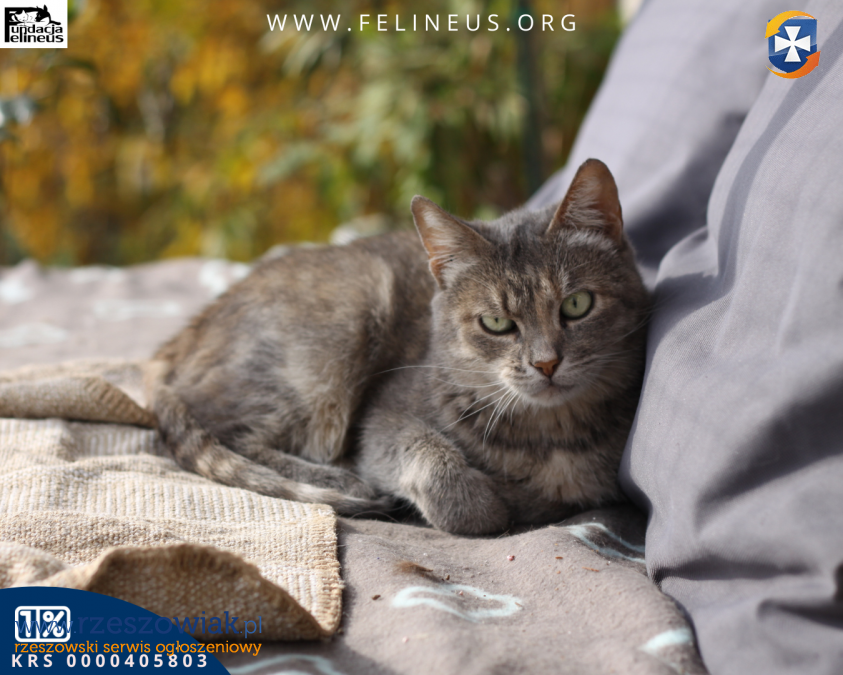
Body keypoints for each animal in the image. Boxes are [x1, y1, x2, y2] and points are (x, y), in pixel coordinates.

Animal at [147, 159, 650, 535]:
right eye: (496, 323)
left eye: (577, 304)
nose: (546, 363)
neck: (553, 431)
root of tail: (184, 335)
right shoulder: (382, 422)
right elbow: (437, 468)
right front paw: (486, 502)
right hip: (337, 335)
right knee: (224, 429)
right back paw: (341, 478)